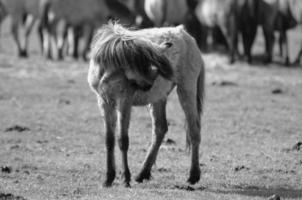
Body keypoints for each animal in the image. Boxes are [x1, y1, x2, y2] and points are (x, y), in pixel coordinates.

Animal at [87, 22, 205, 188]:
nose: (149, 85)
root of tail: (184, 33)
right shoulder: (104, 103)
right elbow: (109, 140)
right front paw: (108, 178)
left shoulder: (124, 102)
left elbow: (123, 140)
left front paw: (126, 178)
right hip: (158, 98)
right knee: (160, 129)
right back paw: (142, 173)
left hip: (186, 90)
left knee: (194, 130)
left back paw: (193, 176)